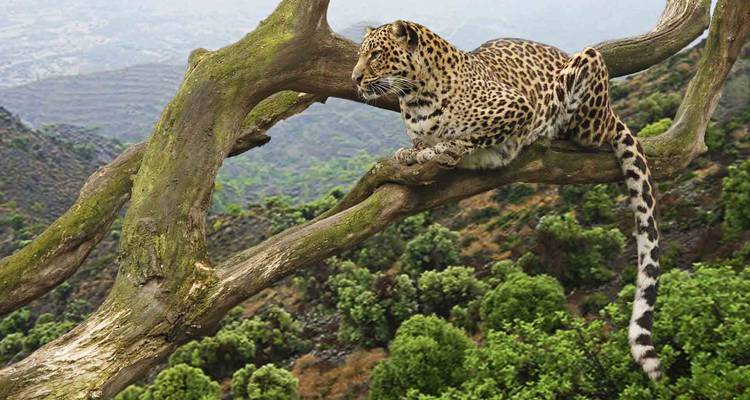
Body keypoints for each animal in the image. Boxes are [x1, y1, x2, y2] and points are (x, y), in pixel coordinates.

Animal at [351, 20, 662, 380]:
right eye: (362, 54)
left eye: (376, 55)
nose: (355, 78)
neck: (416, 99)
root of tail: (612, 112)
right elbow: (420, 146)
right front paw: (413, 152)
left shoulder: (516, 107)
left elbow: (471, 136)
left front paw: (446, 148)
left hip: (590, 79)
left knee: (588, 128)